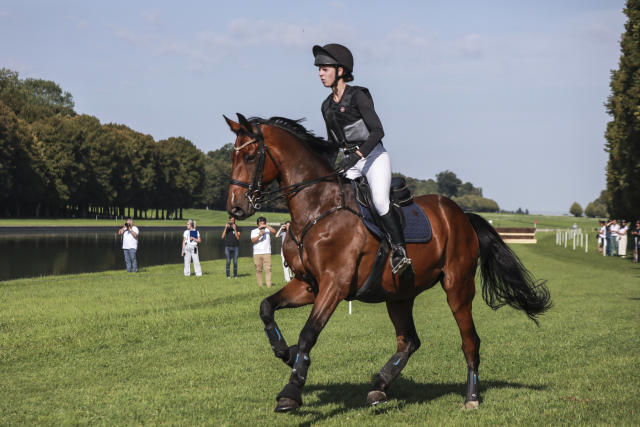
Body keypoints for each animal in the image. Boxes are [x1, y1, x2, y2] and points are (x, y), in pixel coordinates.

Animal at [224, 114, 552, 414]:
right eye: (232, 156)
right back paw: (379, 387)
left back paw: (471, 397)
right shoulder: (308, 284)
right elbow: (266, 307)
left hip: (457, 286)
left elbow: (308, 333)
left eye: (250, 156)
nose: (235, 208)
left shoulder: (335, 285)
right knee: (408, 341)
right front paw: (286, 353)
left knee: (469, 340)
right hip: (399, 294)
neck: (317, 209)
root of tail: (461, 215)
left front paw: (291, 391)